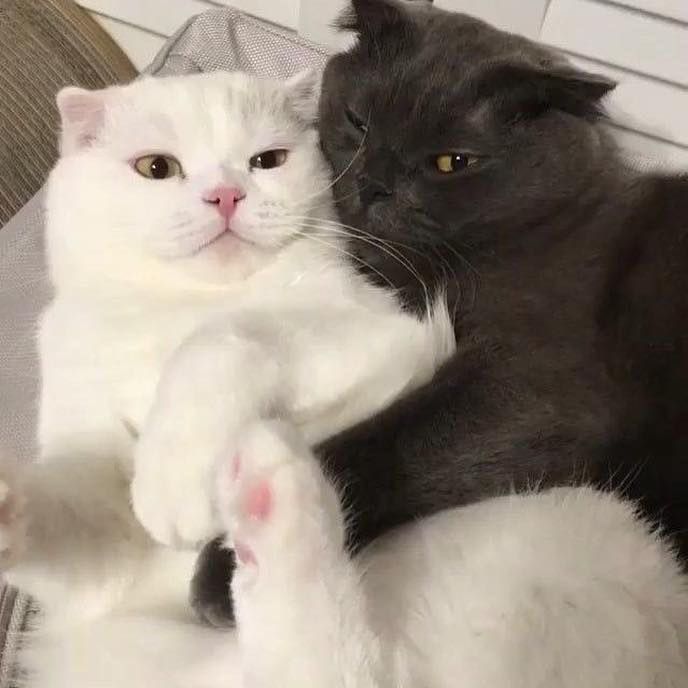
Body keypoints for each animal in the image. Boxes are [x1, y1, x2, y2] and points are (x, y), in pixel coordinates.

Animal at [0, 71, 684, 688]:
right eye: (155, 168)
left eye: (268, 160)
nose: (225, 196)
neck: (176, 306)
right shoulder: (105, 549)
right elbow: (75, 514)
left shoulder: (389, 333)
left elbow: (228, 336)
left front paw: (177, 475)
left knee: (340, 670)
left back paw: (271, 487)